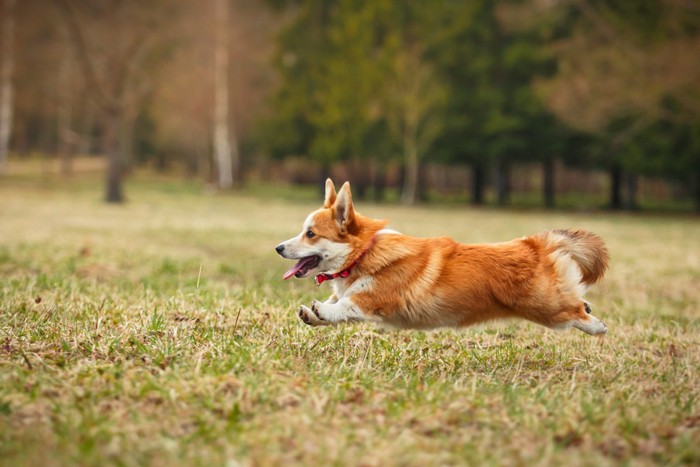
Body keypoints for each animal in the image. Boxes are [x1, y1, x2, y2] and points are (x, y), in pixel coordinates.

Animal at [274, 177, 608, 334]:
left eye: (310, 233)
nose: (278, 248)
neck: (363, 253)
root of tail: (534, 244)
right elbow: (334, 307)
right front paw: (312, 314)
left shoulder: (376, 299)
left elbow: (345, 305)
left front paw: (321, 310)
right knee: (578, 300)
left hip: (545, 307)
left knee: (574, 310)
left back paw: (597, 326)